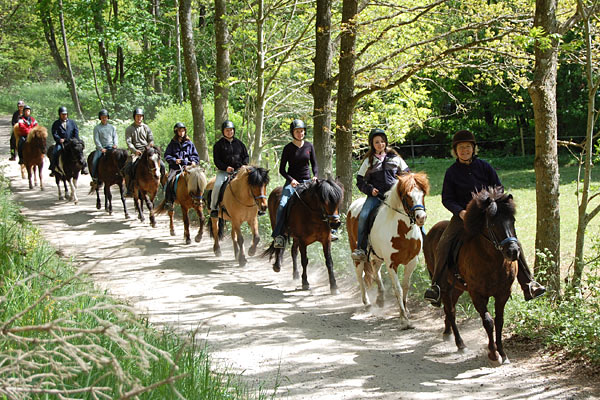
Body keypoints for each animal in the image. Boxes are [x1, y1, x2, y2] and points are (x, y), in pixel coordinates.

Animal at [344, 173, 428, 330]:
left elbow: (406, 287)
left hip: (377, 257)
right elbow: (398, 289)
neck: (402, 231)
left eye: (423, 194)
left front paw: (405, 310)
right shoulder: (391, 264)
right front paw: (404, 319)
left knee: (375, 271)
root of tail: (353, 205)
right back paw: (367, 302)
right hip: (357, 254)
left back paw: (380, 298)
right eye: (408, 196)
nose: (421, 218)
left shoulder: (411, 262)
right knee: (360, 276)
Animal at [422, 188, 520, 366]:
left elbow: (499, 321)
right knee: (450, 311)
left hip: (457, 288)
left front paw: (502, 353)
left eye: (512, 220)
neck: (491, 260)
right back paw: (460, 344)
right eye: (493, 223)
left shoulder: (503, 293)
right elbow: (488, 321)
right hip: (444, 287)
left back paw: (447, 332)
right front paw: (493, 354)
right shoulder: (477, 294)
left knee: (450, 309)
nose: (513, 251)